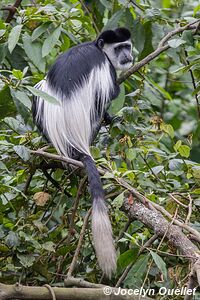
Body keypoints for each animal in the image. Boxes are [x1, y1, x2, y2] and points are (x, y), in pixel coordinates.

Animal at [32, 27, 133, 278]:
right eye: (119, 48)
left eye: (127, 45)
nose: (128, 56)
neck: (97, 48)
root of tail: (74, 144)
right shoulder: (104, 67)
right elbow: (111, 92)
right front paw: (111, 114)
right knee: (99, 100)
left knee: (37, 92)